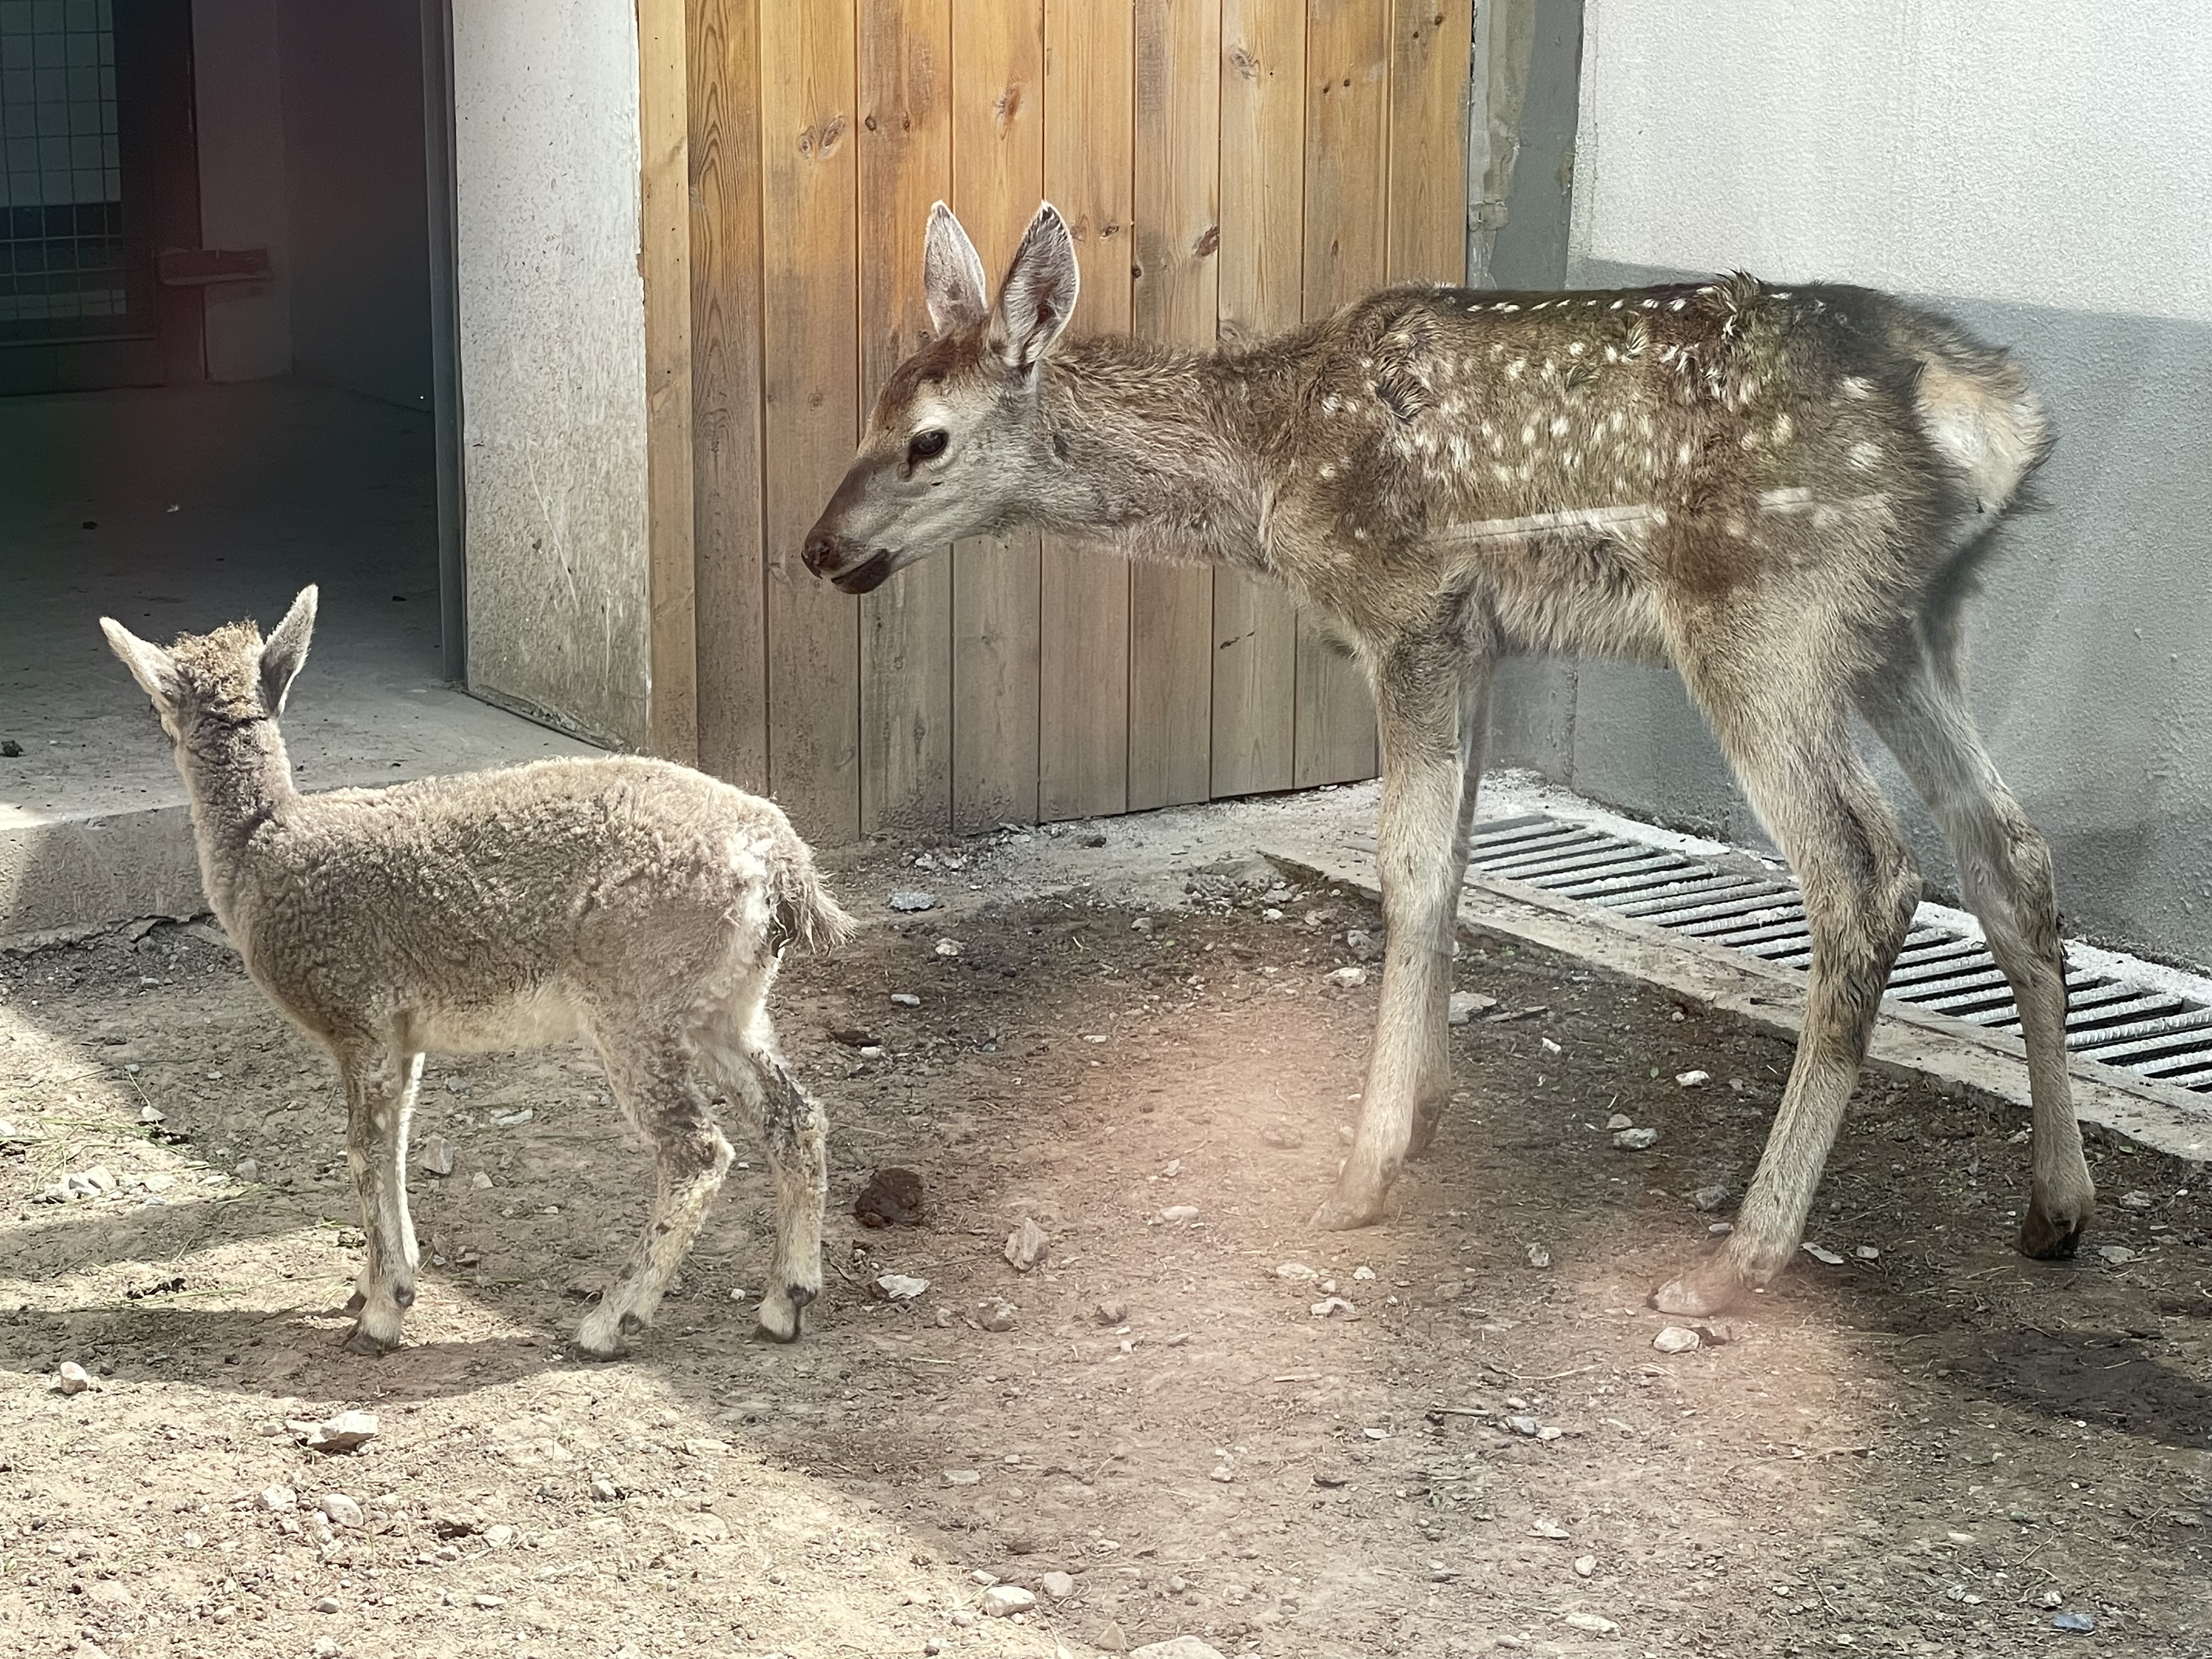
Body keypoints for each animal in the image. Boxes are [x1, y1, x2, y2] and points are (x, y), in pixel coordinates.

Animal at [802, 200, 2093, 1314]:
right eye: (864, 410)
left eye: (927, 440)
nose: (818, 547)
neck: (1262, 470)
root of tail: (1989, 419)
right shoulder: (1482, 642)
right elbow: (1462, 860)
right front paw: (1423, 1104)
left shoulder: (1408, 611)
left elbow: (1410, 873)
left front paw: (1365, 1170)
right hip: (1906, 626)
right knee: (2011, 848)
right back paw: (2056, 1207)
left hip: (1767, 613)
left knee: (1866, 875)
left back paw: (1741, 1256)